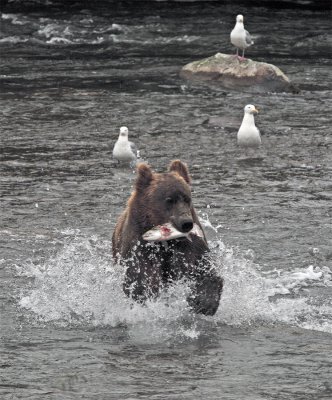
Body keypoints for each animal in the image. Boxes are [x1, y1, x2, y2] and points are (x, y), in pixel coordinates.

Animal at [112, 159, 223, 316]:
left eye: (187, 198)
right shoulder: (139, 244)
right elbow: (141, 276)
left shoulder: (188, 244)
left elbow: (202, 268)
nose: (186, 223)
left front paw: (203, 303)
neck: (166, 241)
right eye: (169, 200)